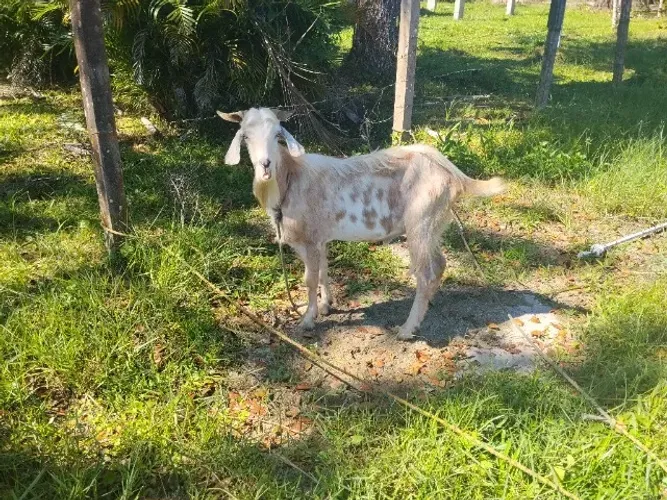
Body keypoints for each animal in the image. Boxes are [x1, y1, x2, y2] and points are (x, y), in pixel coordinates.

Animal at [219, 108, 505, 339]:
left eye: (277, 135)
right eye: (246, 136)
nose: (265, 165)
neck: (292, 178)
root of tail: (453, 172)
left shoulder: (309, 239)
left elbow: (309, 279)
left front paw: (308, 320)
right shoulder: (319, 238)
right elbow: (323, 271)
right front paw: (326, 305)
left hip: (420, 221)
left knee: (426, 273)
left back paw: (407, 329)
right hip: (434, 225)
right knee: (440, 264)